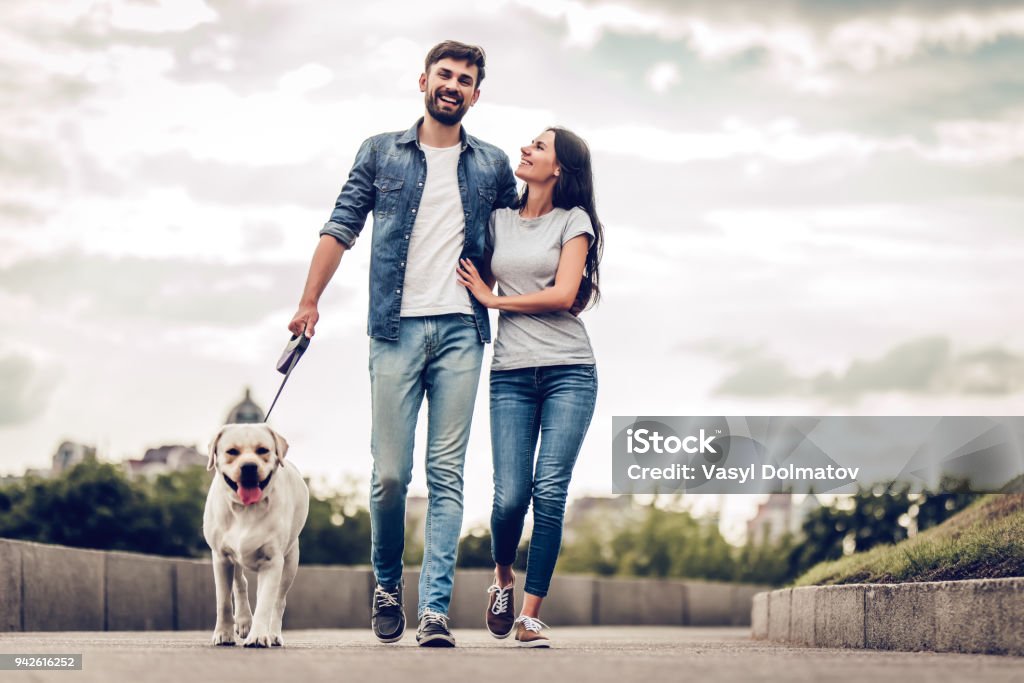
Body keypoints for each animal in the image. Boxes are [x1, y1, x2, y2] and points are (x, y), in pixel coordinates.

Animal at [202, 423, 307, 651]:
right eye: (232, 451)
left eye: (263, 450)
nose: (249, 466)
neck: (245, 509)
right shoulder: (221, 557)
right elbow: (223, 601)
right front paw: (224, 633)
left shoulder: (272, 561)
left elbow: (266, 603)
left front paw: (259, 635)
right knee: (240, 582)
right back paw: (243, 621)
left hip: (290, 562)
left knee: (278, 601)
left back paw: (273, 634)